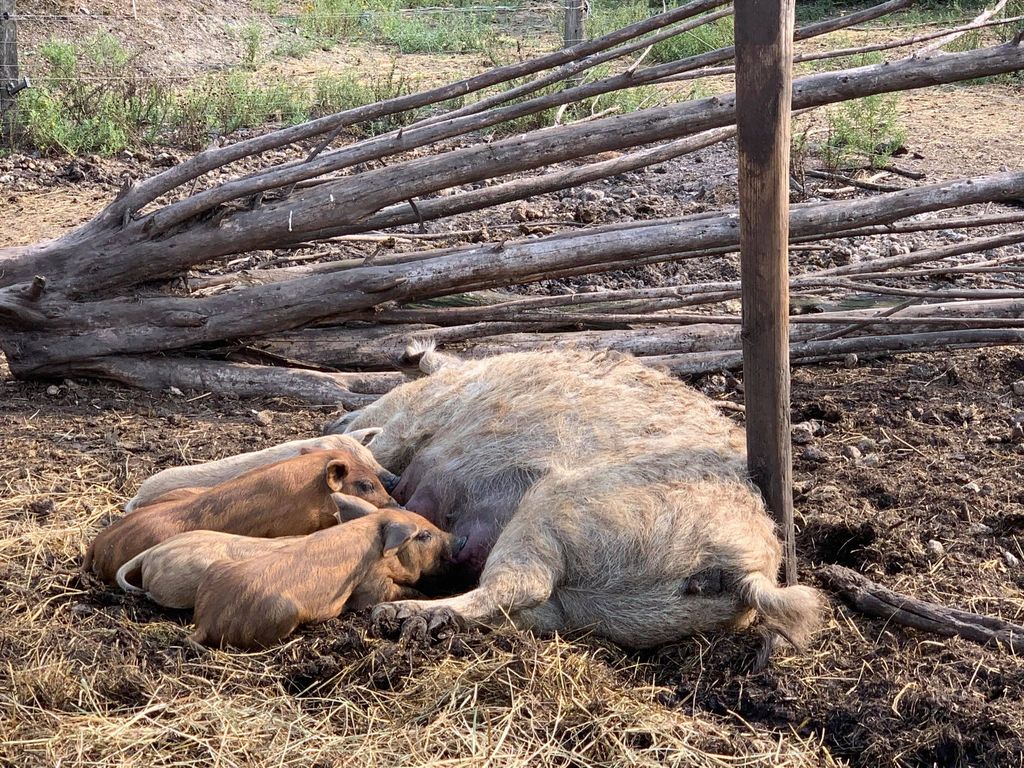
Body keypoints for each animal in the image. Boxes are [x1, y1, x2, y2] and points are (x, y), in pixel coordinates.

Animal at [190, 508, 466, 649]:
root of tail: (206, 620)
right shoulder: (372, 586)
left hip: (217, 568)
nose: (460, 539)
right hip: (282, 612)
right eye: (424, 536)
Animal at [328, 342, 823, 656]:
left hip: (555, 508)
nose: (337, 418)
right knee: (523, 606)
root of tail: (748, 570)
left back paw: (395, 615)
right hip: (593, 610)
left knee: (520, 584)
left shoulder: (412, 419)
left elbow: (380, 444)